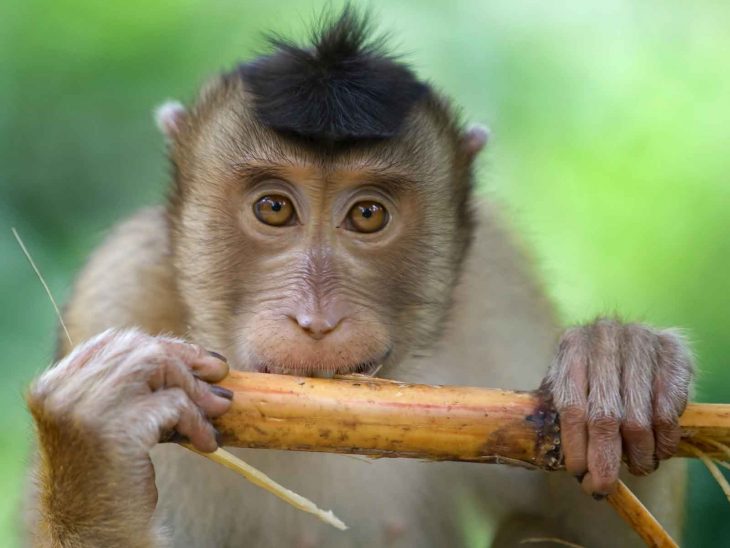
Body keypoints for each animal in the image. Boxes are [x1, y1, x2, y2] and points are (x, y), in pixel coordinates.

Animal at [24, 8, 692, 548]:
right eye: (274, 208)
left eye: (368, 214)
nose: (317, 321)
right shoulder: (118, 289)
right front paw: (93, 440)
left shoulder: (498, 283)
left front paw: (618, 368)